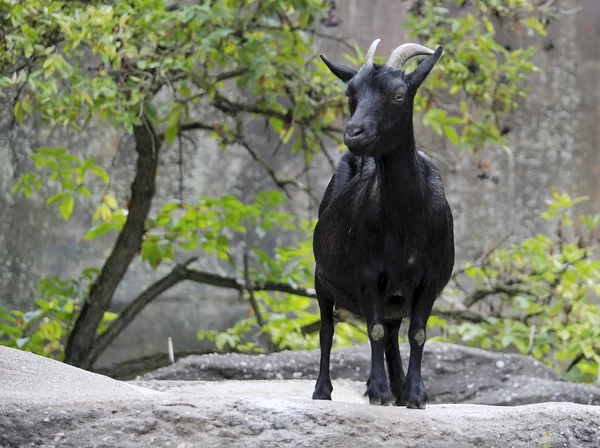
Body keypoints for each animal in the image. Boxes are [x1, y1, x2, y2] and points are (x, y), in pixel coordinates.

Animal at [312, 40, 452, 408]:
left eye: (399, 94)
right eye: (351, 93)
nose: (354, 133)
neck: (405, 223)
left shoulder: (428, 280)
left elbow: (417, 333)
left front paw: (415, 394)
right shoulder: (367, 275)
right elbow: (372, 329)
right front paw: (378, 391)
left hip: (395, 296)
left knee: (391, 334)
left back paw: (399, 387)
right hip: (321, 278)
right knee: (327, 331)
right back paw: (322, 390)